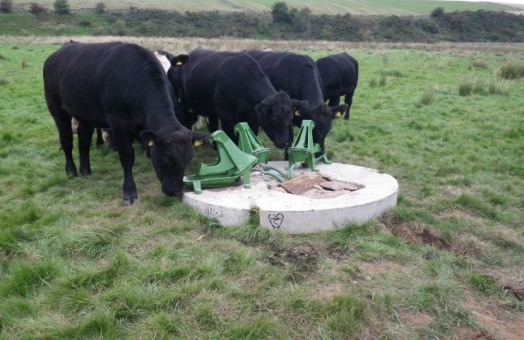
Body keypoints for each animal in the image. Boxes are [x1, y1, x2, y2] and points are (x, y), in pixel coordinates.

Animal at [43, 40, 201, 203]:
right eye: (167, 158)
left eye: (188, 160)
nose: (176, 191)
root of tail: (56, 54)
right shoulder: (118, 122)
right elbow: (127, 156)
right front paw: (129, 192)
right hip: (56, 107)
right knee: (66, 139)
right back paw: (71, 171)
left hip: (84, 112)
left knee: (84, 140)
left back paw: (85, 170)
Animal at [166, 48, 300, 149]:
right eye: (275, 119)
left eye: (290, 119)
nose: (286, 143)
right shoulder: (226, 115)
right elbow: (232, 138)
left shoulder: (251, 116)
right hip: (184, 103)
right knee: (187, 121)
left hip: (211, 109)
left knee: (213, 125)